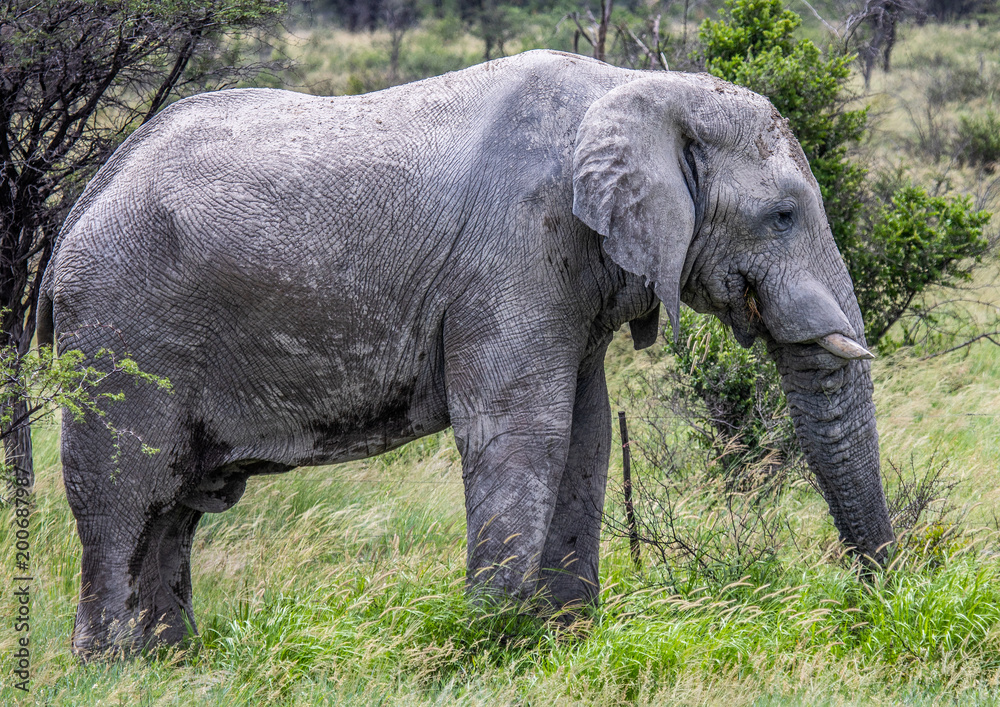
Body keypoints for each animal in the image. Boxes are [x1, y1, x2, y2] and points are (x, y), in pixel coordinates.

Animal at [37, 49, 894, 657]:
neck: (639, 88)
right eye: (783, 214)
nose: (879, 600)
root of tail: (83, 203)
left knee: (174, 510)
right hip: (121, 328)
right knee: (127, 496)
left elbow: (584, 434)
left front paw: (565, 640)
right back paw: (111, 669)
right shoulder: (514, 250)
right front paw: (491, 639)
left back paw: (171, 665)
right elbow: (525, 429)